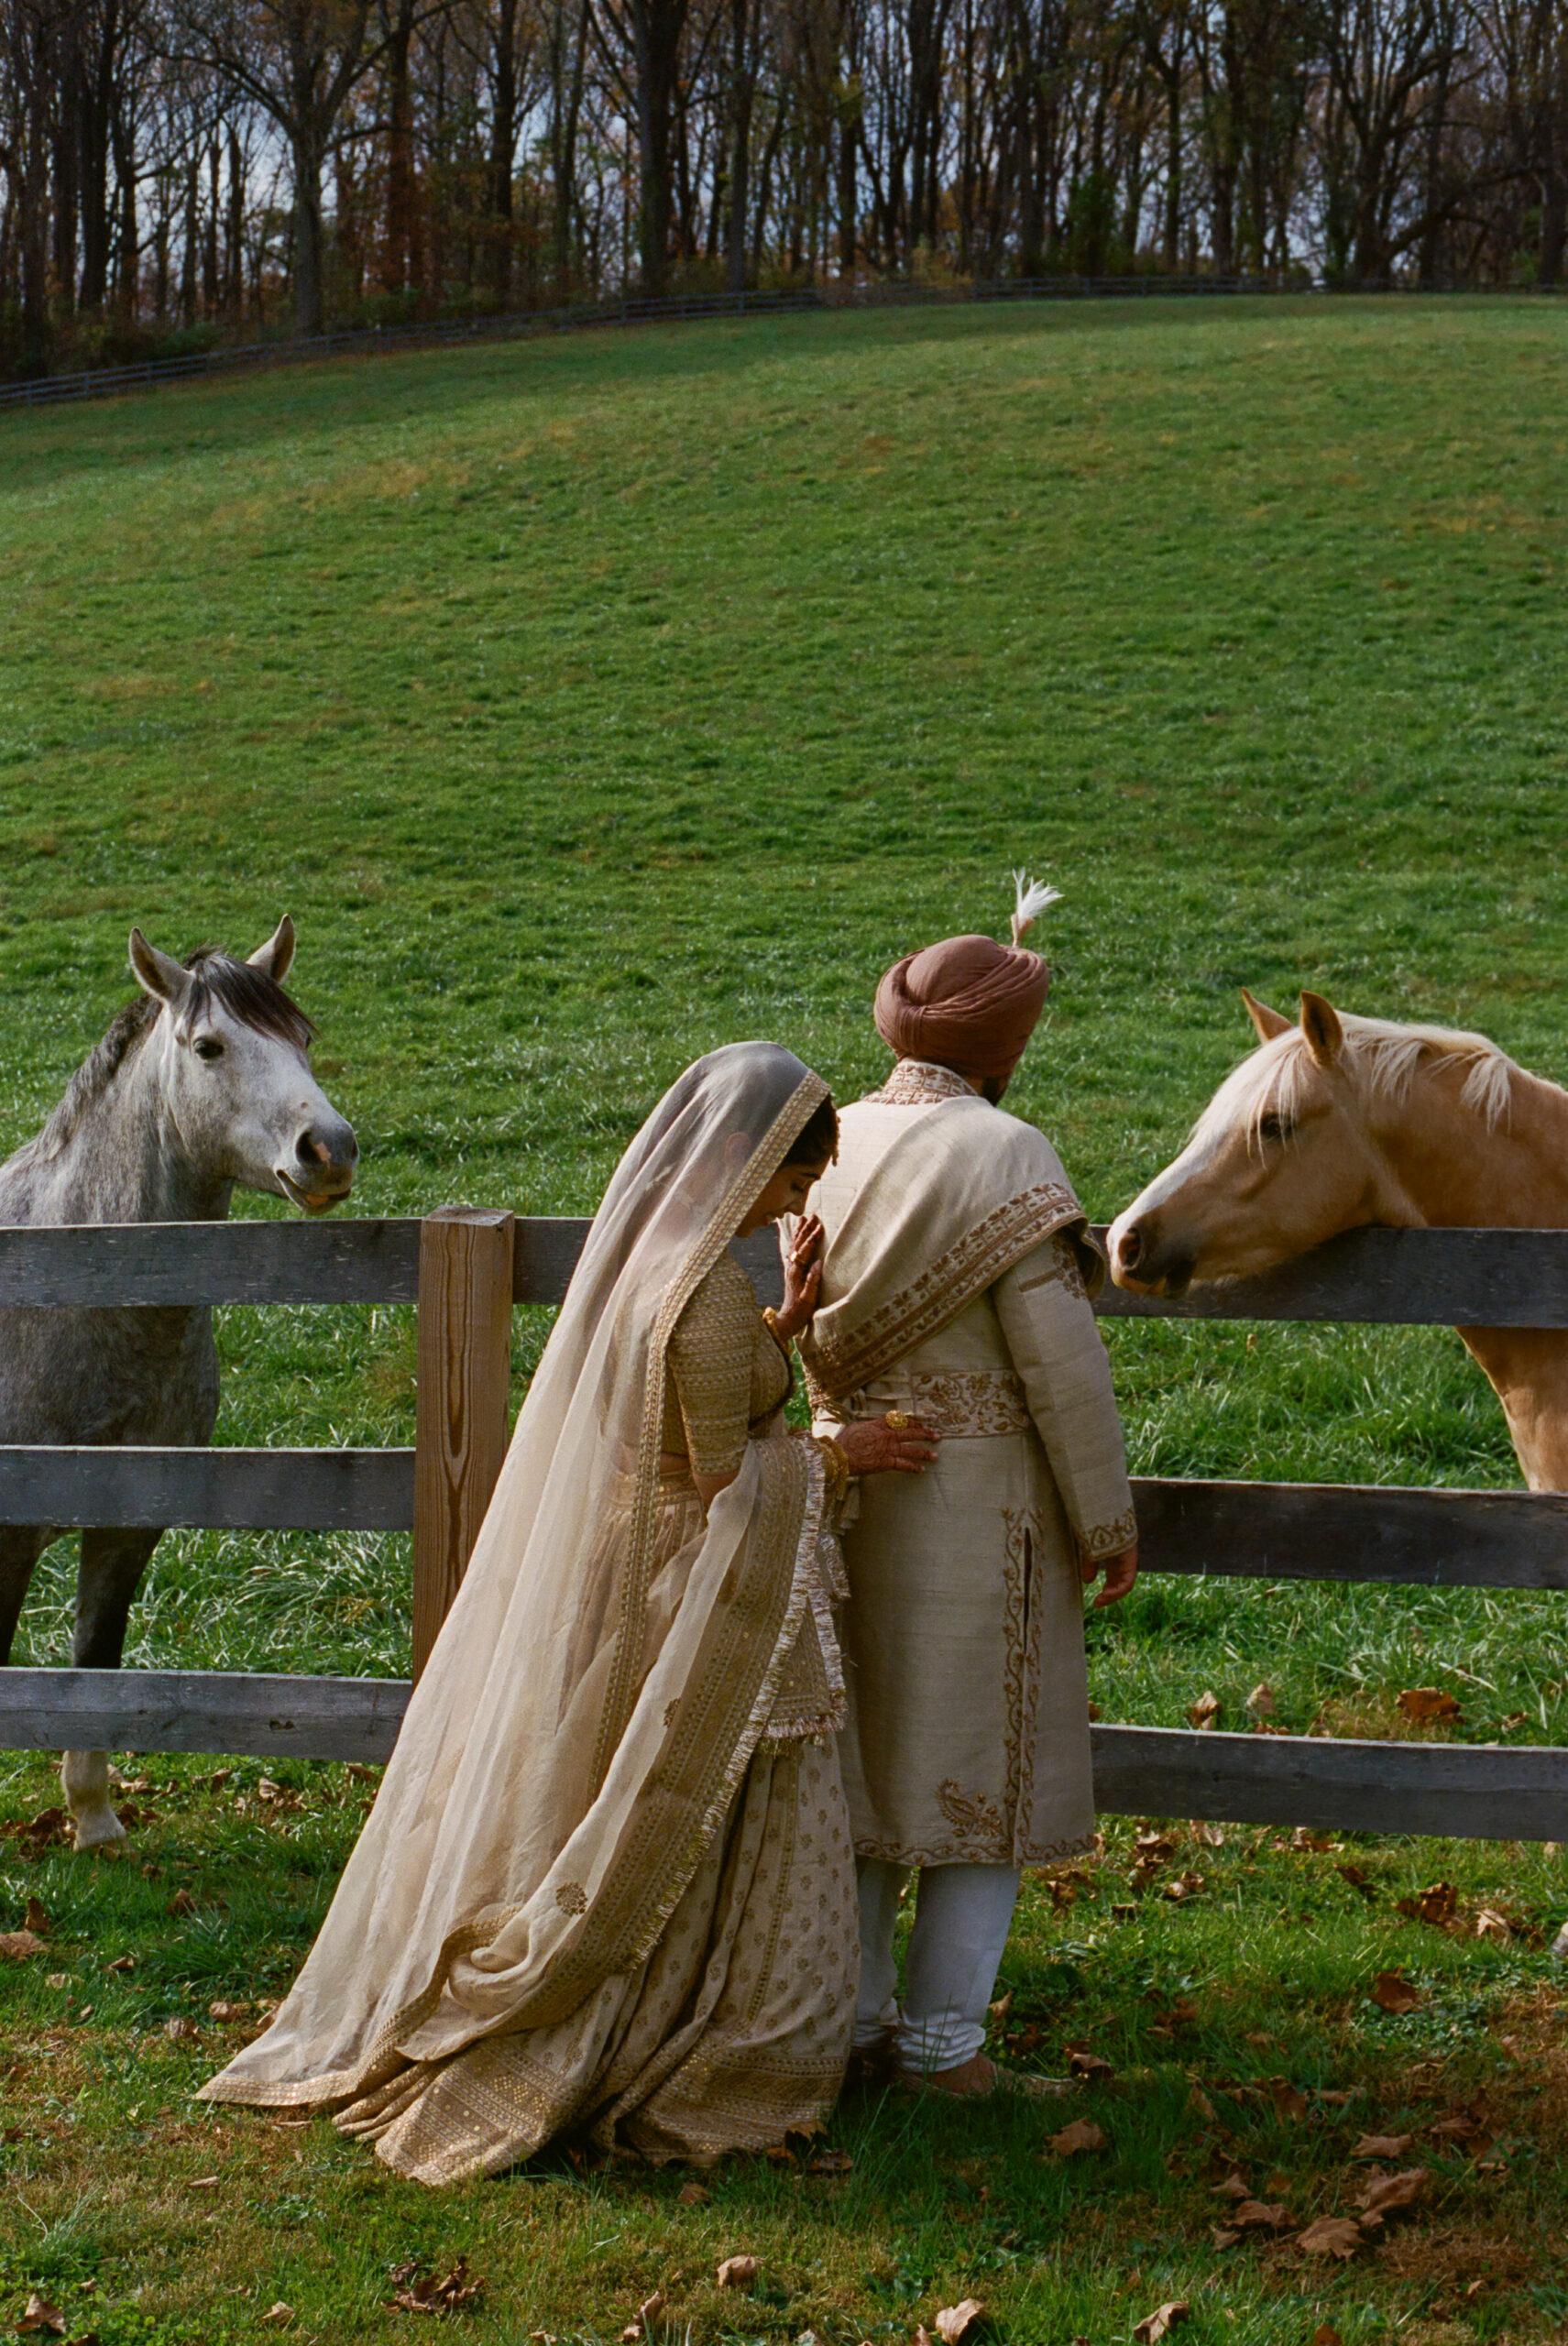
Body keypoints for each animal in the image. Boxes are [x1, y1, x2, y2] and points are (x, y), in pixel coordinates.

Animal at [0, 915, 354, 1848]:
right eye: (208, 1046)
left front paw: (94, 1820)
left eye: (304, 1037)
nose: (330, 1149)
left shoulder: (129, 1525)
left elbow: (96, 1664)